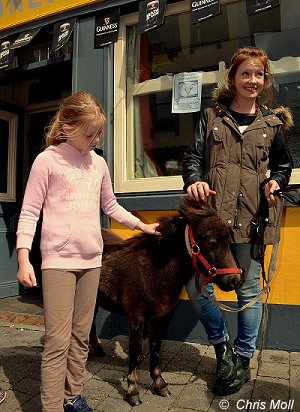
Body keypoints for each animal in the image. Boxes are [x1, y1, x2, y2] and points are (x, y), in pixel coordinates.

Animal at [89, 199, 244, 406]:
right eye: (211, 242)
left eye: (229, 242)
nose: (234, 280)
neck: (152, 271)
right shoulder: (136, 318)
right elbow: (135, 349)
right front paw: (133, 390)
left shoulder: (160, 317)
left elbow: (155, 347)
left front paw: (159, 384)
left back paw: (96, 350)